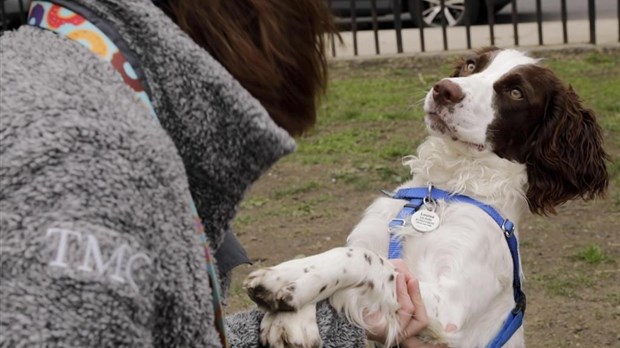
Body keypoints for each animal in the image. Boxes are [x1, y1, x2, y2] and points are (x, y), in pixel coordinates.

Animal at [243, 48, 612, 348]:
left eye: (516, 92)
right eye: (471, 65)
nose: (444, 89)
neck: (443, 191)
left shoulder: (449, 311)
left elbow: (367, 260)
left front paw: (286, 280)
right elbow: (347, 253)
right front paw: (293, 315)